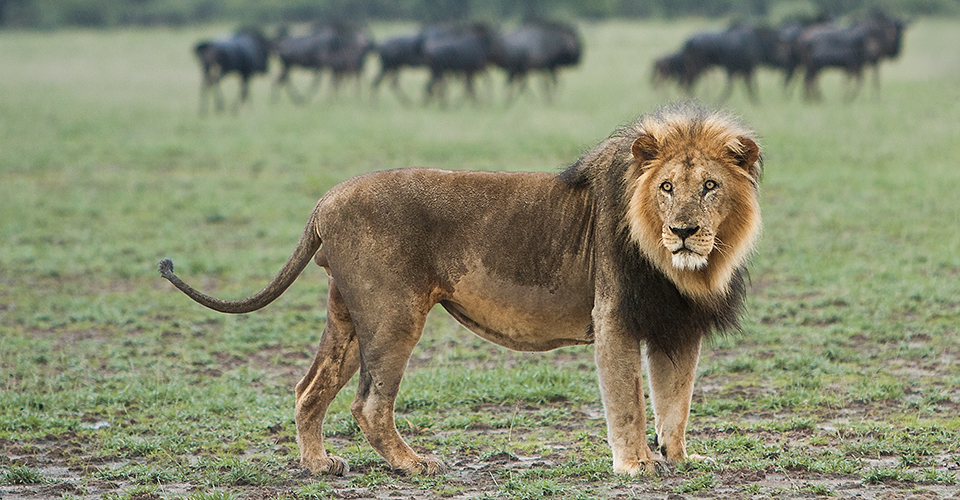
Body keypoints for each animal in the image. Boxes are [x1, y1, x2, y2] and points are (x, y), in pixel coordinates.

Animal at [159, 101, 764, 476]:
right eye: (667, 187)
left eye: (710, 186)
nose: (683, 231)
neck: (680, 267)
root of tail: (324, 201)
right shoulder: (614, 315)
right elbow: (629, 402)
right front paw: (636, 465)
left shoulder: (677, 326)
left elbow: (675, 402)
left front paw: (680, 459)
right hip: (393, 315)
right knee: (369, 404)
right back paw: (412, 465)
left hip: (348, 318)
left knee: (310, 390)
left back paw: (319, 465)